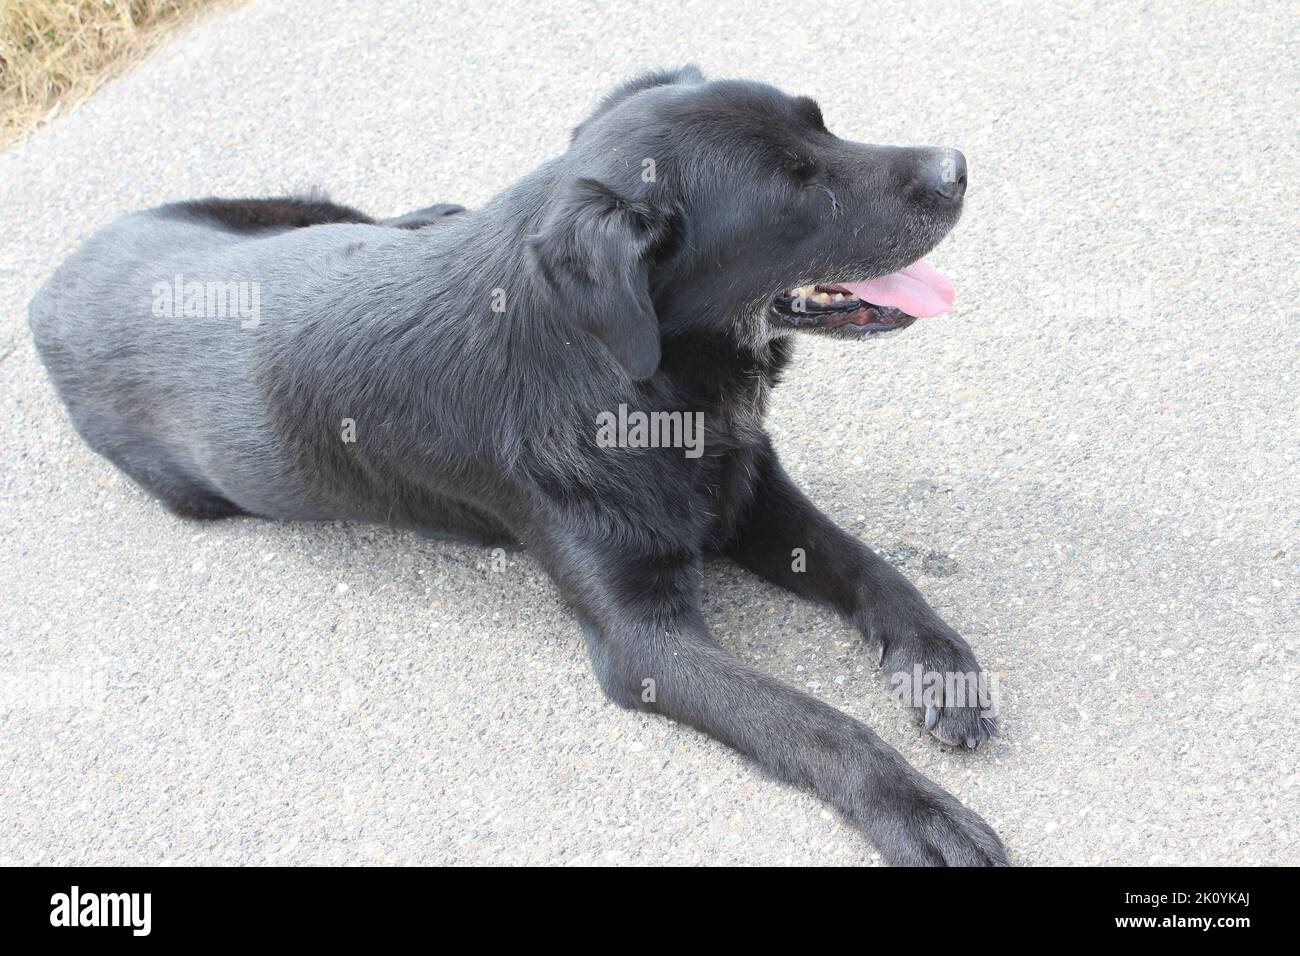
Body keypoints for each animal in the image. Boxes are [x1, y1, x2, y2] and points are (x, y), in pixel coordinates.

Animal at [30, 69, 1003, 868]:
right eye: (799, 190)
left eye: (821, 123)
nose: (958, 166)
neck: (632, 379)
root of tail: (48, 287)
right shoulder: (646, 644)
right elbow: (816, 724)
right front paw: (917, 811)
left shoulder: (750, 494)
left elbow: (872, 567)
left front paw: (938, 664)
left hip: (291, 210)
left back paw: (432, 214)